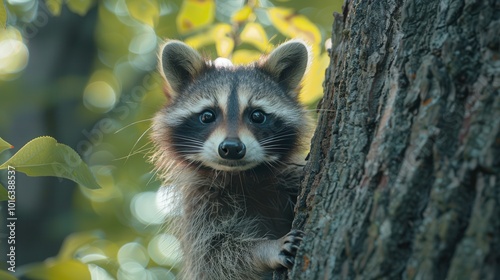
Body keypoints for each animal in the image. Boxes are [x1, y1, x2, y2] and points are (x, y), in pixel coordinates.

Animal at [150, 40, 310, 280]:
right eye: (207, 116)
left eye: (257, 115)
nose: (232, 148)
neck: (242, 176)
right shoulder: (199, 205)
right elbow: (213, 256)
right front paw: (264, 250)